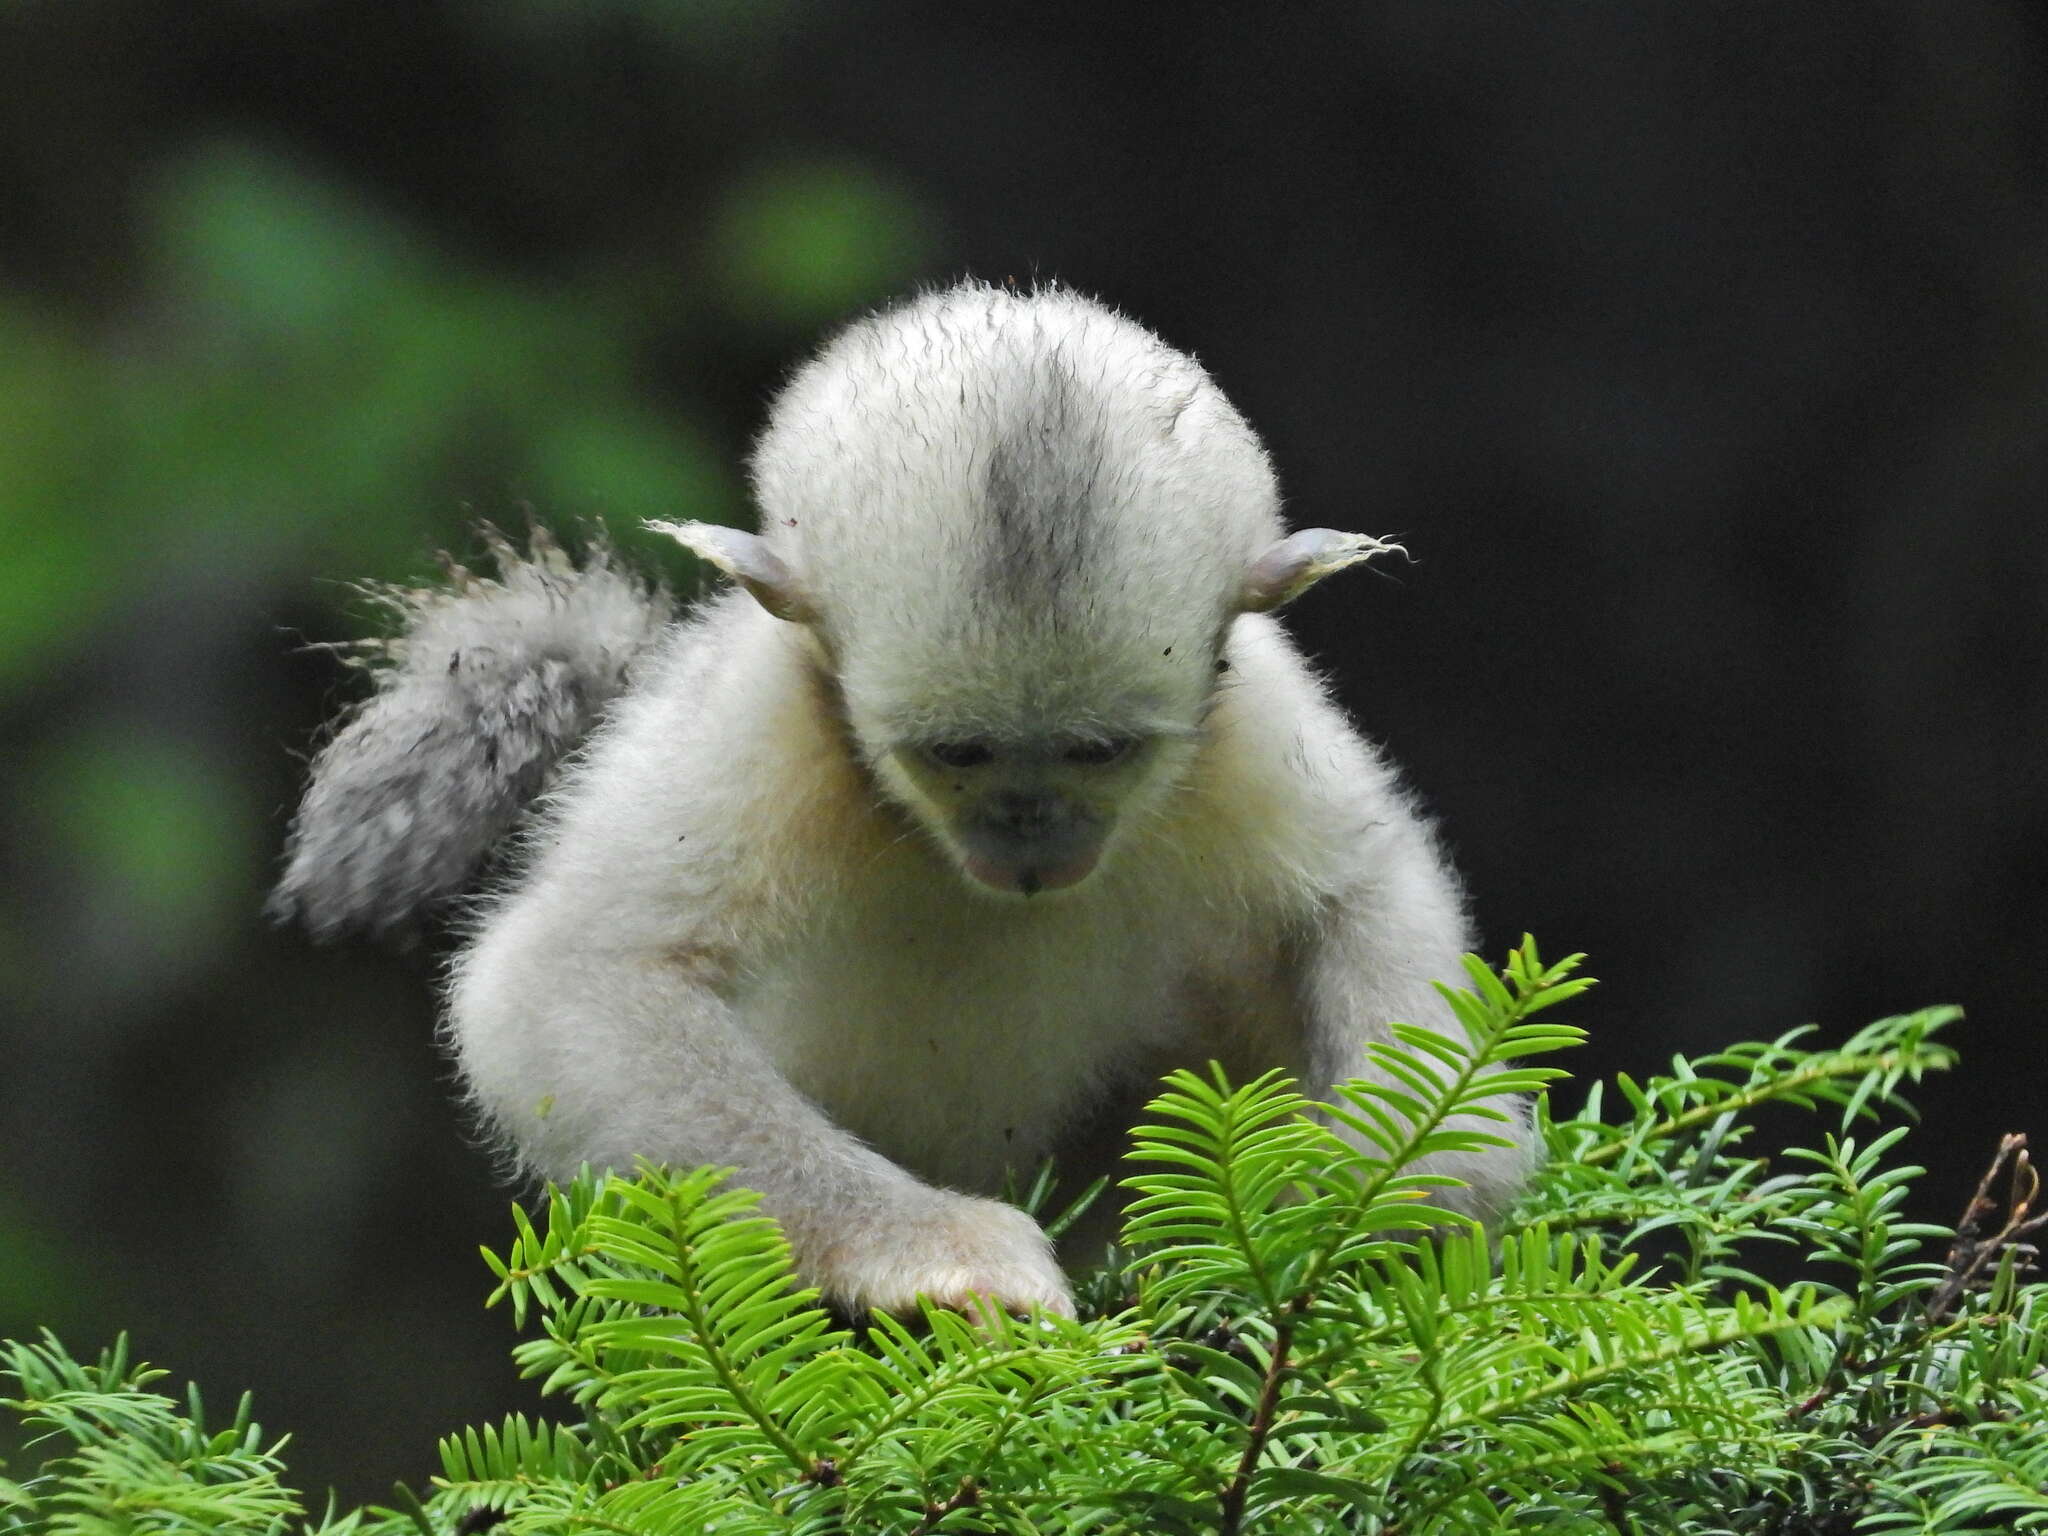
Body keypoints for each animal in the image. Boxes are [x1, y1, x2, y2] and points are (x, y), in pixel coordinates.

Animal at [272, 282, 1531, 1318]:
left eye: (1099, 751)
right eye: (956, 753)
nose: (1030, 846)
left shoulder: (1246, 716)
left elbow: (1364, 886)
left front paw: (1391, 1188)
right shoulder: (761, 723)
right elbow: (569, 983)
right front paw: (932, 1248)